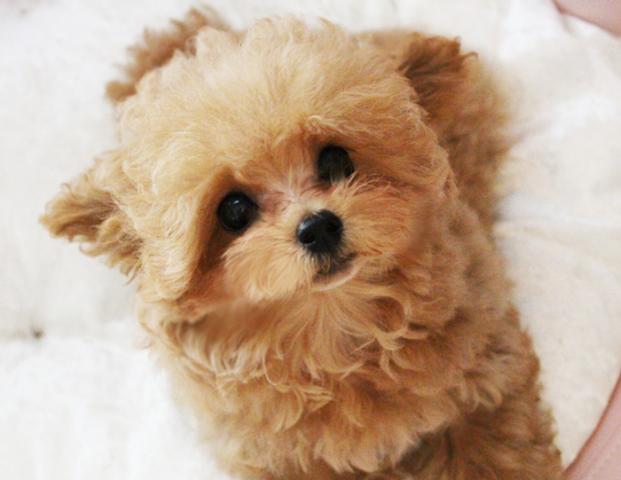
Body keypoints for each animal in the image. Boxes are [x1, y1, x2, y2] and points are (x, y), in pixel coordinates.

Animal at [41, 8, 562, 479]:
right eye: (233, 210)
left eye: (335, 160)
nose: (318, 227)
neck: (330, 325)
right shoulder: (272, 456)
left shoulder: (487, 376)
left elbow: (496, 450)